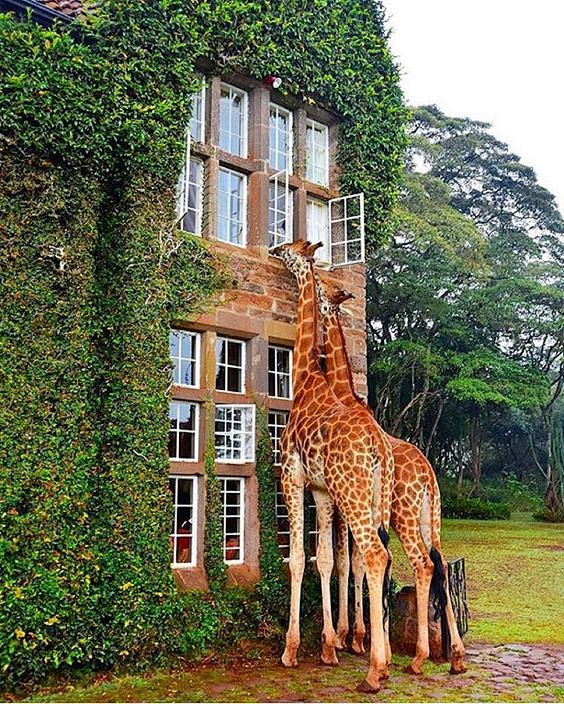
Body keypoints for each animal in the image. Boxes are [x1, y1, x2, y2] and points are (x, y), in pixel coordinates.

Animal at [272, 239, 394, 693]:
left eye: (290, 249)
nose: (275, 249)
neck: (308, 377)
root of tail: (378, 447)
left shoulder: (292, 475)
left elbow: (299, 558)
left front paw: (293, 648)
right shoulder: (323, 491)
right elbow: (325, 558)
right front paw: (329, 644)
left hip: (354, 494)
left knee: (374, 556)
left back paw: (375, 670)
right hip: (372, 498)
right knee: (387, 558)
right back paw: (383, 656)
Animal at [314, 269, 467, 675]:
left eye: (322, 289)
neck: (344, 394)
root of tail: (429, 475)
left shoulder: (345, 503)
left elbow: (347, 563)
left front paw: (351, 637)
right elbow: (356, 563)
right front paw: (360, 636)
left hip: (404, 515)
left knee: (421, 563)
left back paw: (418, 657)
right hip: (431, 518)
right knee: (440, 563)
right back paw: (455, 654)